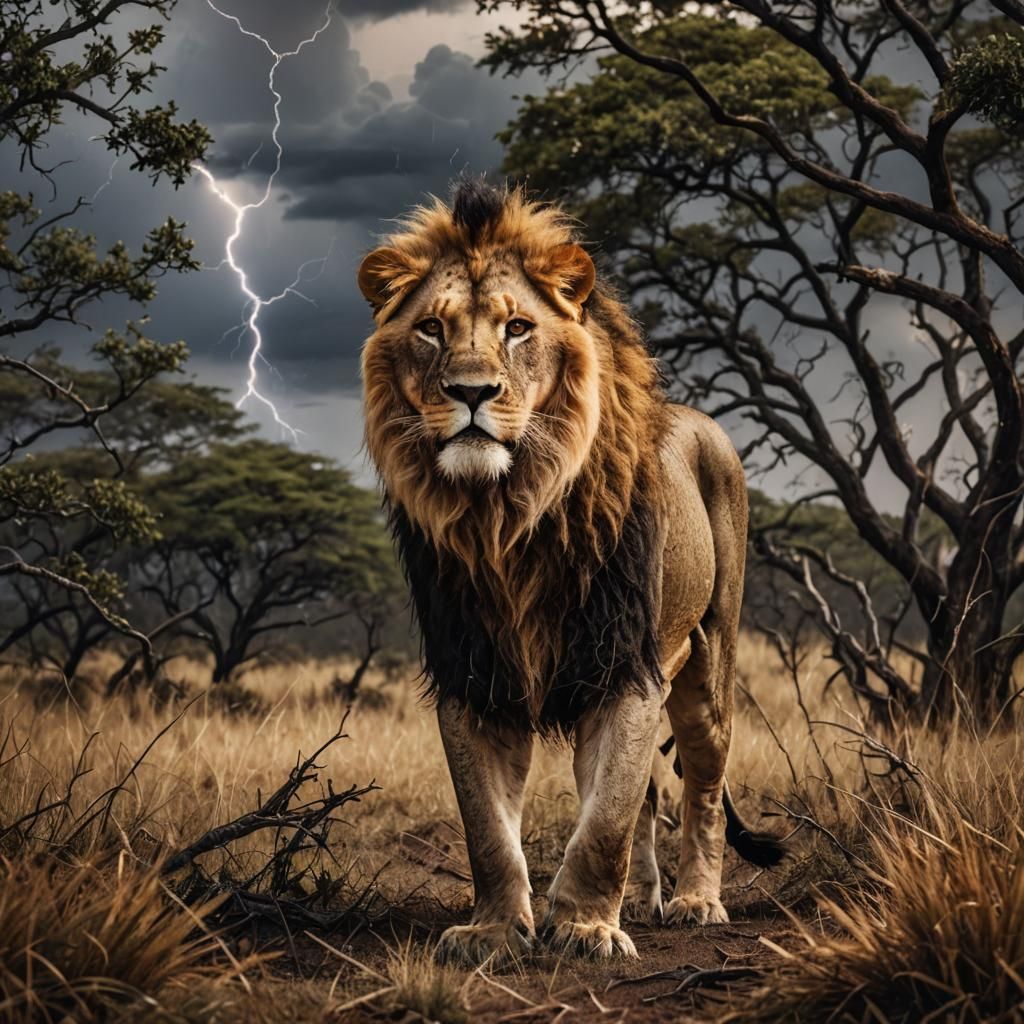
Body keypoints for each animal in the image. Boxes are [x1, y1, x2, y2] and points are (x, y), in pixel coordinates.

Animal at [358, 180, 784, 964]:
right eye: (430, 329)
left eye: (518, 327)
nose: (471, 391)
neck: (505, 517)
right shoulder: (473, 673)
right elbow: (489, 829)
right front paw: (495, 931)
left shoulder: (626, 665)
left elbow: (605, 819)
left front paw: (585, 928)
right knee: (652, 794)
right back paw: (643, 900)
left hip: (710, 657)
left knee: (703, 785)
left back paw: (695, 901)